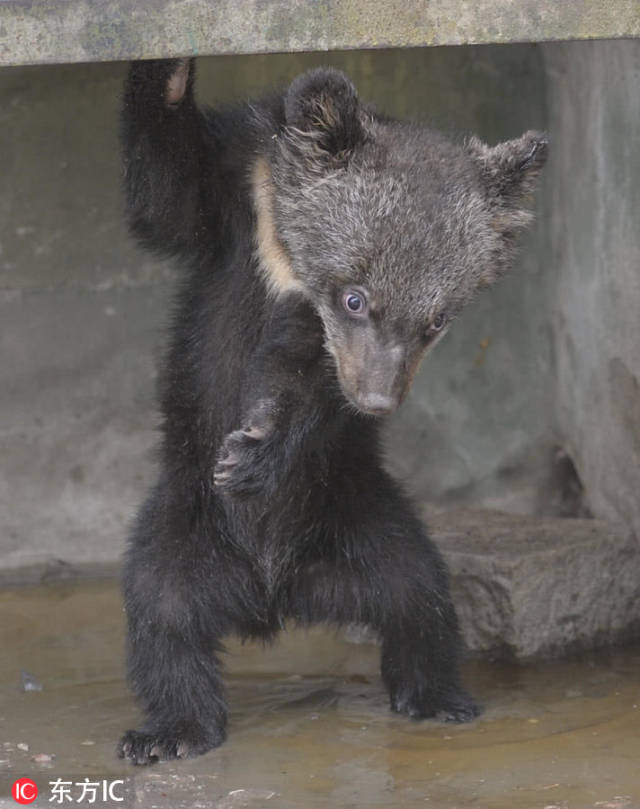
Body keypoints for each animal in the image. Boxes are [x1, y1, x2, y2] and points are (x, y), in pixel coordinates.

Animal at [116, 57, 547, 765]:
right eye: (355, 298)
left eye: (436, 322)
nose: (377, 397)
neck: (288, 249)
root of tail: (272, 595)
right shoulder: (234, 198)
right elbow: (166, 193)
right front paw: (169, 67)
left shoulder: (319, 352)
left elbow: (306, 383)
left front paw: (250, 453)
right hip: (183, 518)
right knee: (162, 613)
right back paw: (169, 733)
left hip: (361, 513)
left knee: (419, 597)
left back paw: (440, 697)